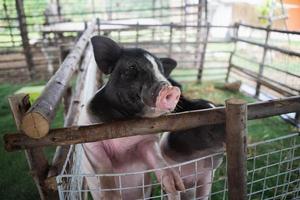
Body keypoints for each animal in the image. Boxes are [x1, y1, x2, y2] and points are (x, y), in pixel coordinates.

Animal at [79, 36, 185, 200]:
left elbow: (158, 160)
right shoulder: (91, 143)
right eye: (132, 68)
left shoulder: (147, 141)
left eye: (161, 70)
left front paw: (177, 187)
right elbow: (104, 169)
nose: (172, 89)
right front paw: (111, 198)